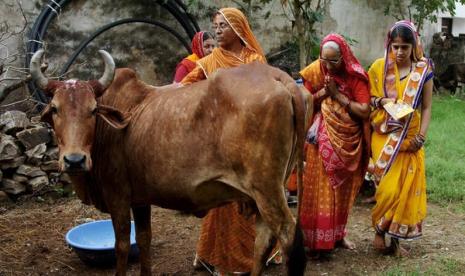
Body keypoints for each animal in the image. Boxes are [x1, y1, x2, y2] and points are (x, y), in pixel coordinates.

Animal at [29, 50, 312, 276]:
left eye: (93, 110)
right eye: (55, 108)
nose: (74, 160)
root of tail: (279, 77)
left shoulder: (117, 196)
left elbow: (122, 246)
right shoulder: (140, 199)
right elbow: (144, 240)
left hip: (266, 189)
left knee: (288, 237)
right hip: (266, 191)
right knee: (263, 242)